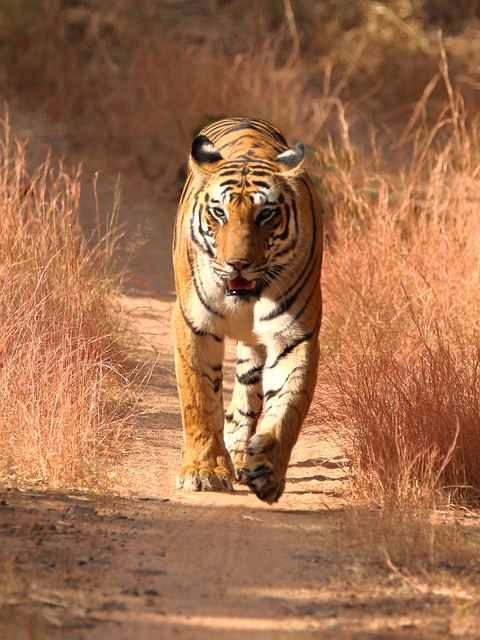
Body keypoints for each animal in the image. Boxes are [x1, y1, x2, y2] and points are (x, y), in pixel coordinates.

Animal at [172, 117, 322, 502]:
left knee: (247, 392)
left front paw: (267, 471)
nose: (237, 263)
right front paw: (204, 471)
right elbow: (198, 398)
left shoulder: (293, 336)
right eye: (219, 212)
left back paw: (241, 454)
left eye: (265, 214)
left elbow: (288, 407)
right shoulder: (193, 324)